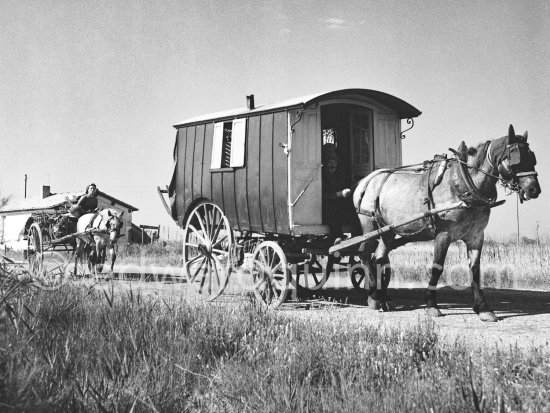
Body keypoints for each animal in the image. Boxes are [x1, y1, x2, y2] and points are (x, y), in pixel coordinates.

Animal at [356, 124, 540, 320]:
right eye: (516, 158)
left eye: (533, 158)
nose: (534, 189)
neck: (464, 185)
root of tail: (366, 180)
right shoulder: (443, 235)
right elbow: (437, 267)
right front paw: (431, 305)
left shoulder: (476, 237)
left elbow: (475, 270)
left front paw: (483, 307)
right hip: (369, 225)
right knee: (364, 254)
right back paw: (373, 293)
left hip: (387, 230)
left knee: (380, 258)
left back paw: (380, 299)